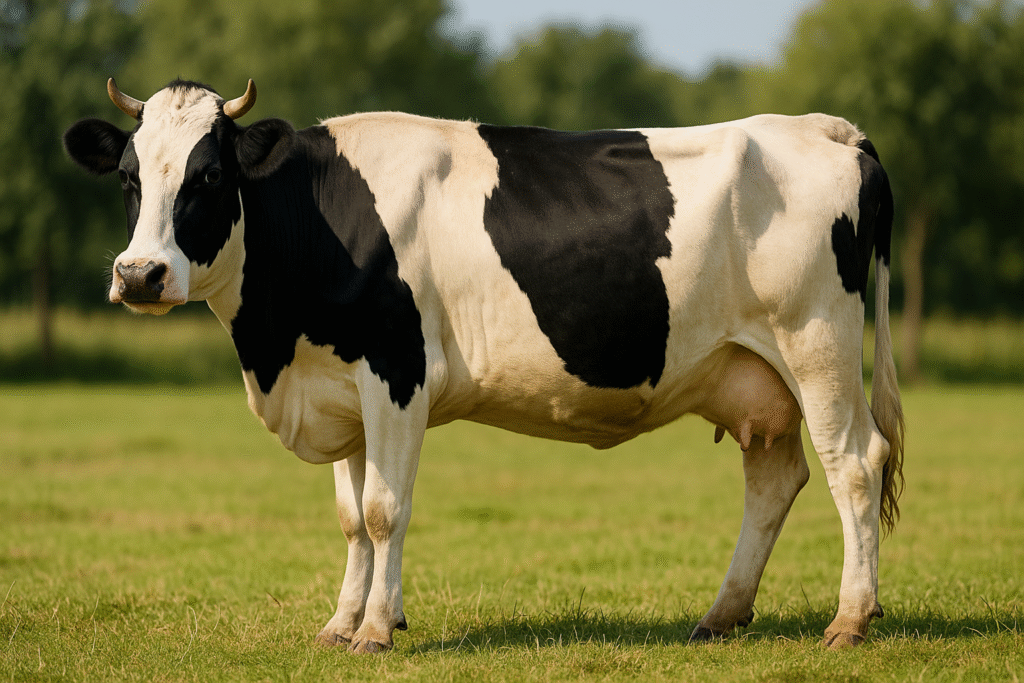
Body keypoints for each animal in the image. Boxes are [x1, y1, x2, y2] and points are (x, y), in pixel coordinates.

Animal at [63, 78, 904, 653]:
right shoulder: (337, 384)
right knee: (775, 479)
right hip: (754, 373)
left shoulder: (396, 371)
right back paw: (722, 613)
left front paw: (376, 629)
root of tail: (826, 129)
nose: (139, 274)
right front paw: (342, 620)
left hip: (817, 341)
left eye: (208, 176)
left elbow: (384, 508)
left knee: (856, 462)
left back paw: (850, 617)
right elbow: (350, 516)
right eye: (130, 178)